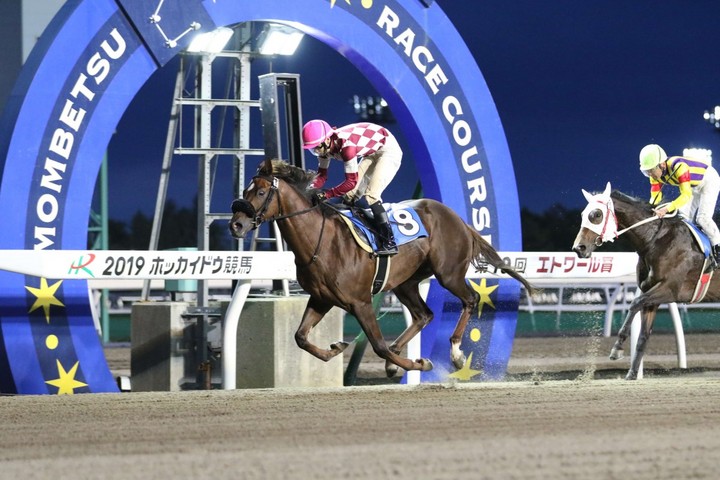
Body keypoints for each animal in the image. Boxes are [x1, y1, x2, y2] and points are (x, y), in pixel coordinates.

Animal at [228, 159, 535, 377]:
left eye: (261, 191)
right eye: (244, 190)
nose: (236, 225)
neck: (321, 241)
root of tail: (457, 217)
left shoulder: (360, 302)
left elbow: (378, 346)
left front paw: (420, 364)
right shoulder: (321, 298)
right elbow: (300, 337)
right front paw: (335, 349)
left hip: (448, 273)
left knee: (469, 299)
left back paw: (457, 354)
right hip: (405, 282)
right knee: (424, 315)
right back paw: (400, 354)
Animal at [571, 182, 720, 380]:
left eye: (596, 215)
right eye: (583, 214)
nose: (578, 248)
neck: (656, 240)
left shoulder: (670, 289)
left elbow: (635, 303)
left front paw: (617, 349)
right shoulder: (650, 293)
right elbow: (643, 335)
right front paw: (632, 373)